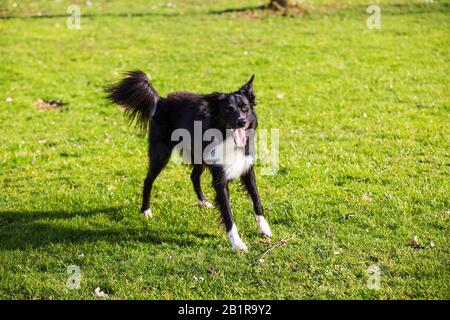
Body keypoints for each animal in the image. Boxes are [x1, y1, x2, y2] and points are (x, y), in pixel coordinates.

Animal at [106, 71, 270, 249]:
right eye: (228, 110)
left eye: (245, 108)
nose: (242, 121)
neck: (227, 139)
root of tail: (161, 101)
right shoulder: (220, 180)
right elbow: (228, 213)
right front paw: (237, 243)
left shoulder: (247, 169)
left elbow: (256, 199)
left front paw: (264, 228)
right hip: (161, 155)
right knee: (148, 181)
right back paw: (146, 210)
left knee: (193, 176)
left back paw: (203, 202)